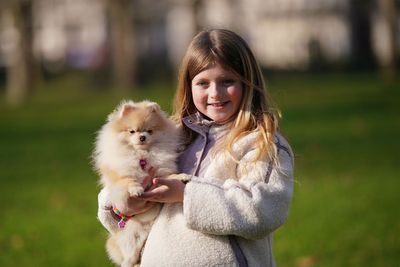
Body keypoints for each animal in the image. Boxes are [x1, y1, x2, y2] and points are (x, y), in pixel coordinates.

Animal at [93, 100, 184, 267]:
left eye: (149, 131)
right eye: (132, 131)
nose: (142, 137)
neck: (141, 155)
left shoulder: (161, 173)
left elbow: (170, 176)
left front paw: (182, 176)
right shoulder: (120, 176)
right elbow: (128, 180)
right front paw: (136, 189)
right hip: (130, 237)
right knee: (127, 258)